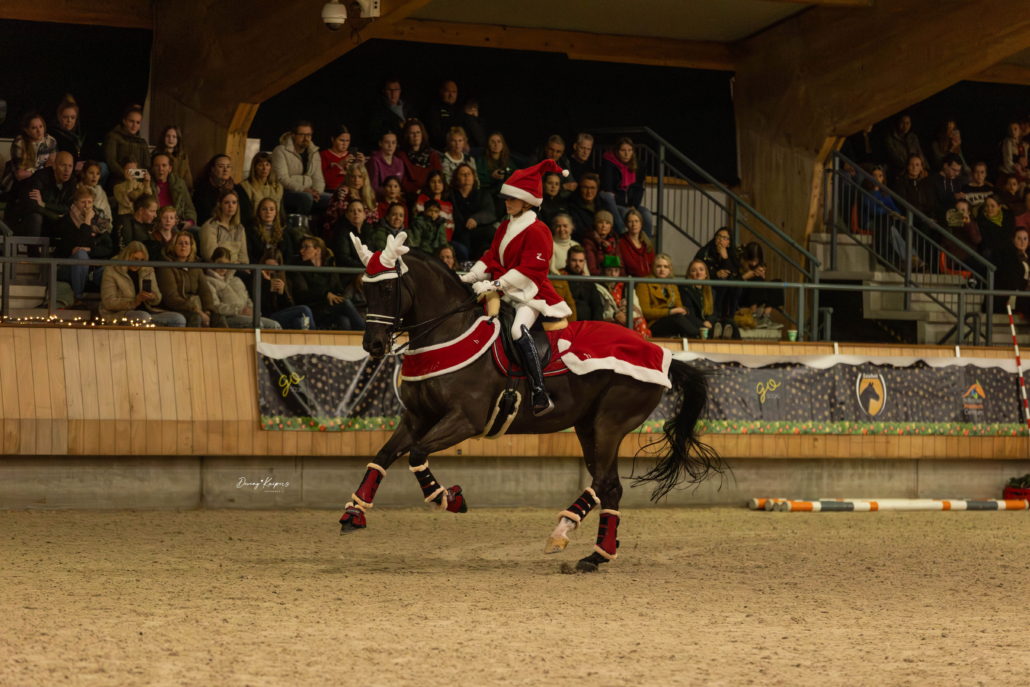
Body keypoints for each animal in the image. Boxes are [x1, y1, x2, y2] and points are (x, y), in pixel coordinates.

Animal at [338, 232, 723, 572]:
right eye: (364, 287)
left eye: (387, 288)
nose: (372, 344)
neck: (448, 333)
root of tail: (662, 353)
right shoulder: (417, 417)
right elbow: (383, 457)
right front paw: (354, 513)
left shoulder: (465, 420)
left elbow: (417, 454)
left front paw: (449, 498)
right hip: (588, 427)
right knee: (610, 486)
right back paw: (596, 556)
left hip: (610, 424)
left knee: (602, 482)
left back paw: (562, 531)